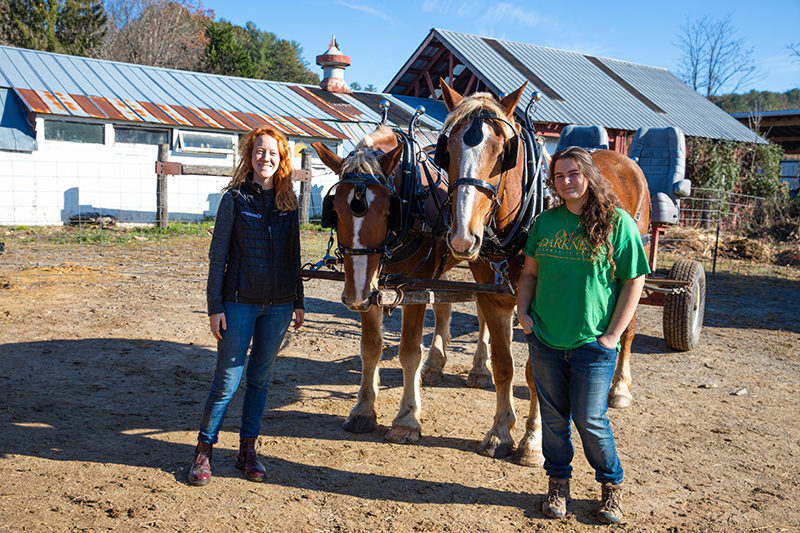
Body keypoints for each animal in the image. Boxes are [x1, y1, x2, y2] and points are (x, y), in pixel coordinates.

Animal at [440, 78, 652, 462]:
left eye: (502, 152)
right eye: (446, 149)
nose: (463, 236)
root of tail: (622, 158)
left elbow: (536, 373)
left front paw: (533, 440)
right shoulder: (494, 299)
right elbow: (505, 366)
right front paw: (500, 432)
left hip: (637, 258)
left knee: (627, 329)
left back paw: (619, 389)